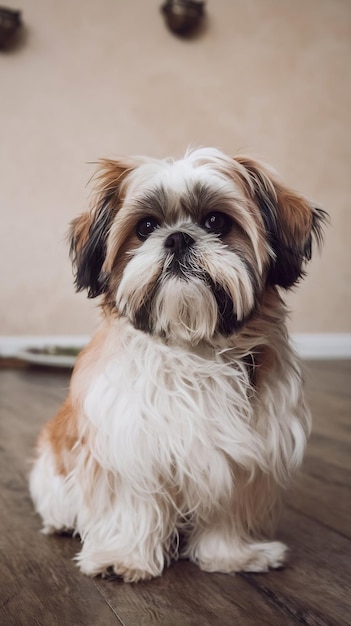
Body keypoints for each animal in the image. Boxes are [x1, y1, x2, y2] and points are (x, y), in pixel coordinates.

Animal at [29, 146, 328, 580]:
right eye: (146, 226)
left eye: (217, 222)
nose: (177, 237)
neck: (193, 348)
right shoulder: (128, 443)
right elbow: (131, 504)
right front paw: (123, 556)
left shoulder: (245, 454)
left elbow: (228, 507)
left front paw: (230, 555)